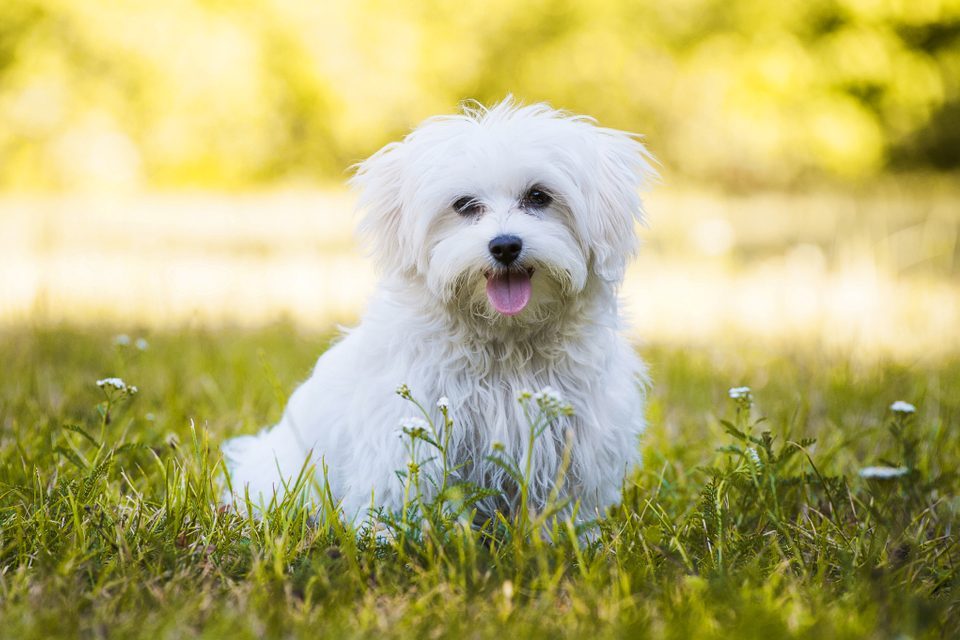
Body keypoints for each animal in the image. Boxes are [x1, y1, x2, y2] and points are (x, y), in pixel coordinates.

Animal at [221, 100, 656, 524]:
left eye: (538, 197)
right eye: (464, 205)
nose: (505, 245)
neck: (505, 340)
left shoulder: (577, 440)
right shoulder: (407, 431)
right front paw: (390, 535)